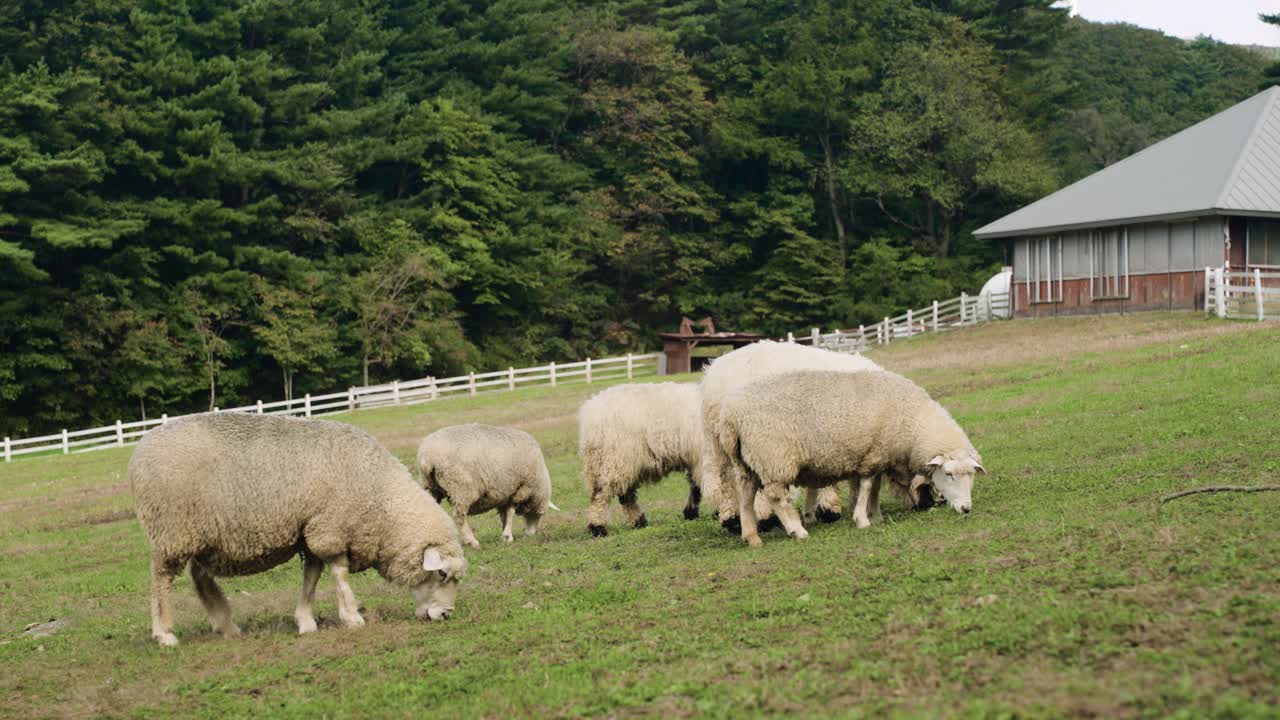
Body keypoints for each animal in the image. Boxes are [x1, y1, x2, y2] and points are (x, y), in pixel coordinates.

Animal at [129, 412, 467, 647]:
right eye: (440, 573)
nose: (446, 615)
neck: (381, 501)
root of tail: (140, 449)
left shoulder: (310, 531)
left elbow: (312, 577)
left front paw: (305, 621)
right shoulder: (330, 529)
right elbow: (339, 574)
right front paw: (352, 616)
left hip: (203, 536)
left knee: (200, 579)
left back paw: (226, 626)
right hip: (171, 531)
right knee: (161, 580)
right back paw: (164, 633)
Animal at [417, 424, 555, 548]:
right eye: (539, 515)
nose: (531, 535)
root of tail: (426, 457)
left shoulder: (504, 494)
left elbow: (504, 515)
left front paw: (504, 535)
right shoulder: (520, 490)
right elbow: (510, 512)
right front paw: (508, 536)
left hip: (431, 487)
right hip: (461, 487)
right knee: (459, 516)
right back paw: (472, 542)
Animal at [578, 382, 707, 536]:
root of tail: (589, 413)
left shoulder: (697, 460)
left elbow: (696, 487)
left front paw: (690, 513)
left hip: (619, 462)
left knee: (625, 495)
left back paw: (638, 522)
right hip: (615, 459)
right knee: (601, 494)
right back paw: (597, 527)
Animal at [700, 340, 883, 531]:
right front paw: (829, 509)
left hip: (721, 442)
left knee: (725, 477)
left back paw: (734, 518)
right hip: (756, 442)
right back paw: (759, 518)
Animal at [717, 369, 985, 547]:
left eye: (971, 476)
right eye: (948, 474)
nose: (966, 509)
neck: (912, 426)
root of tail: (731, 417)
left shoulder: (875, 455)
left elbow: (873, 488)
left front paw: (875, 516)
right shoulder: (872, 455)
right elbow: (867, 487)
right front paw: (862, 519)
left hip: (748, 462)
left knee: (746, 495)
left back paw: (751, 537)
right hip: (773, 458)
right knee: (775, 496)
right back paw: (797, 530)